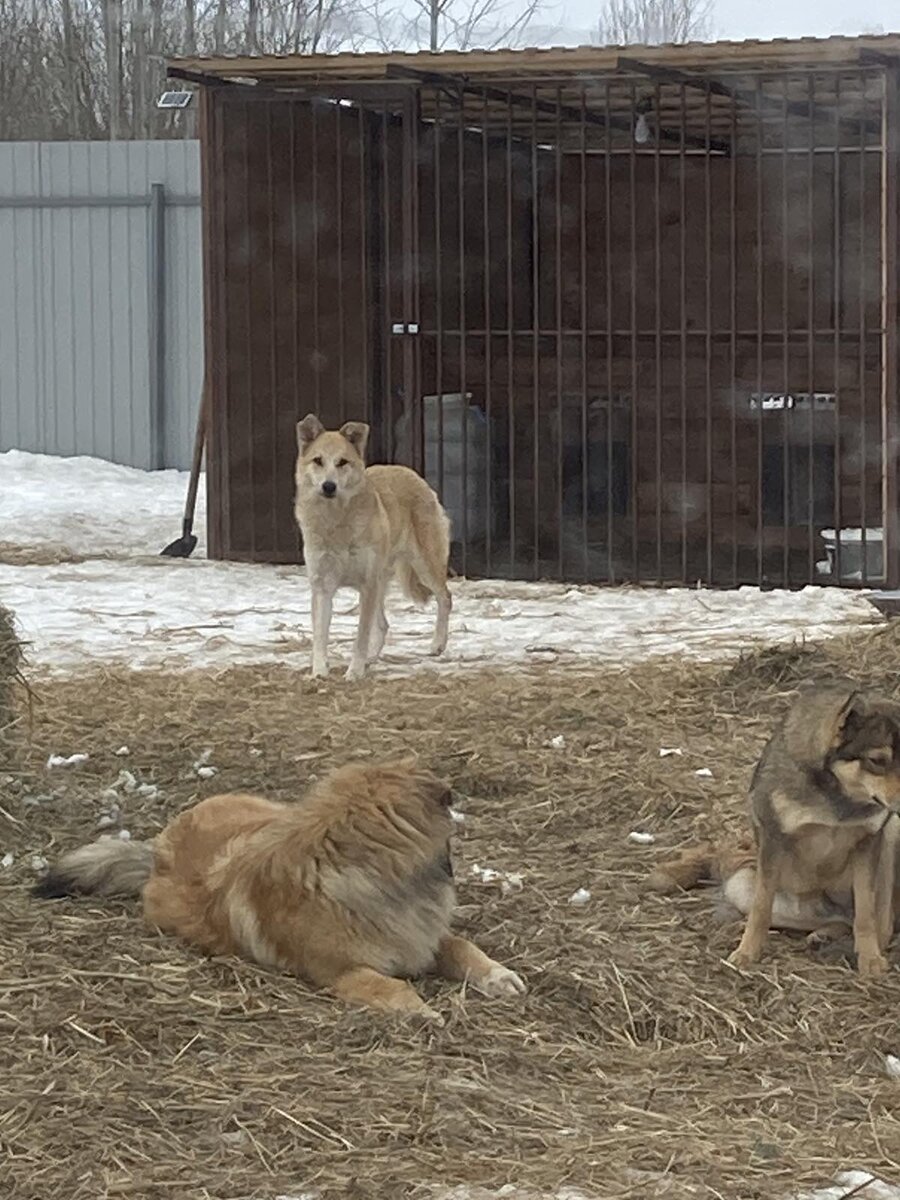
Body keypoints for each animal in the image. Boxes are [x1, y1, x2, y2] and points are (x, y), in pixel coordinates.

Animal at [33, 758, 528, 1022]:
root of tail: (156, 850)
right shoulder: (342, 972)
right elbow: (387, 985)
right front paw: (421, 1010)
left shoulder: (424, 937)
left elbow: (463, 947)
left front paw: (498, 976)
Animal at [294, 412, 453, 681]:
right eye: (318, 461)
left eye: (342, 462)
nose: (329, 486)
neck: (336, 522)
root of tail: (410, 472)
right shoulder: (323, 586)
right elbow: (320, 637)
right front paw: (319, 672)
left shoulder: (366, 584)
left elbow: (360, 636)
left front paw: (354, 672)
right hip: (381, 580)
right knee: (383, 624)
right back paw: (371, 658)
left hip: (423, 565)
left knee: (445, 597)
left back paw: (437, 645)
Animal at [643, 686, 900, 974]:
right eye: (877, 760)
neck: (837, 799)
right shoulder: (773, 839)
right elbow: (761, 909)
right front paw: (746, 953)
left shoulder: (869, 840)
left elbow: (867, 915)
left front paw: (870, 958)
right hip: (741, 886)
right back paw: (824, 935)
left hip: (893, 831)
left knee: (881, 924)